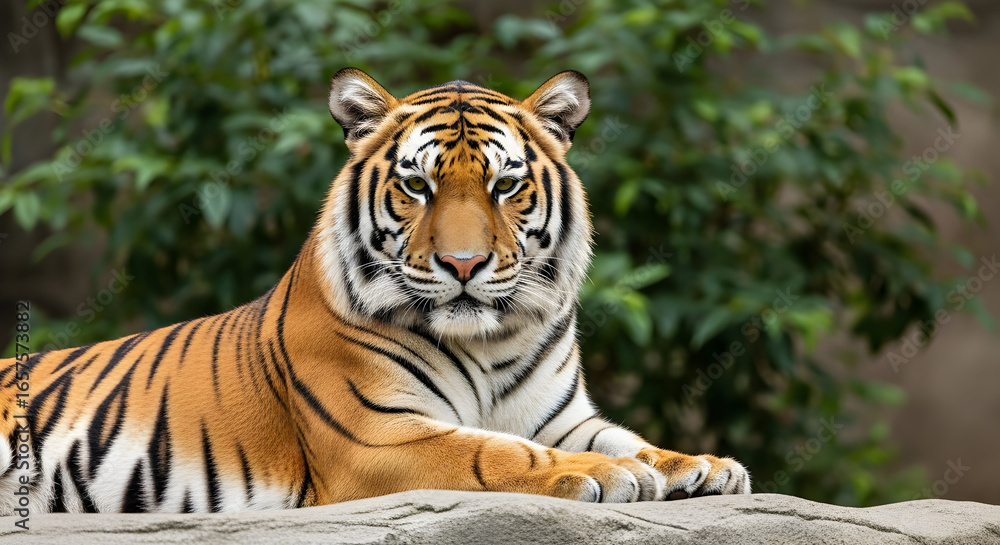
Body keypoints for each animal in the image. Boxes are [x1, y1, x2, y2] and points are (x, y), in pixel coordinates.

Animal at [0, 68, 750, 514]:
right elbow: (493, 451)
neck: (492, 340)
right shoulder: (375, 438)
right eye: (417, 185)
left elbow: (630, 439)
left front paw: (700, 465)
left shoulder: (561, 416)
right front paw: (604, 474)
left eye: (505, 184)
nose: (463, 263)